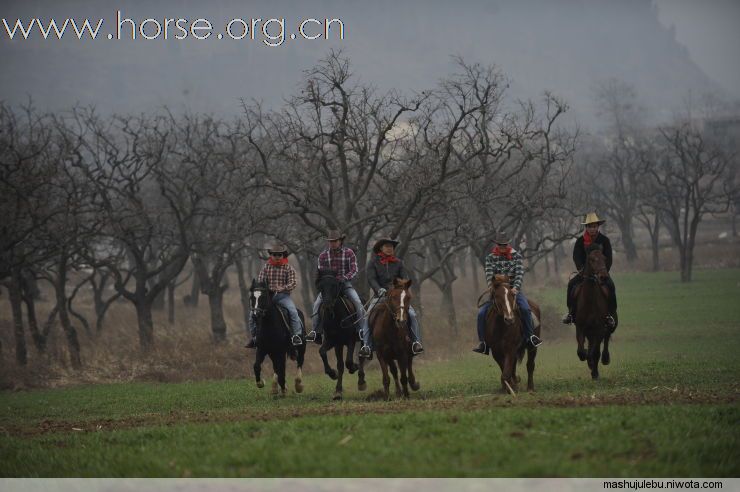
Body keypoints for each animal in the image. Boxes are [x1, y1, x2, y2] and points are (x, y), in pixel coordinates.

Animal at [316, 270, 368, 400]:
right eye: (320, 287)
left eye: (334, 286)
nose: (327, 305)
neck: (335, 317)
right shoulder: (335, 342)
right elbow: (327, 355)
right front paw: (334, 380)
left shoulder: (350, 340)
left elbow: (348, 361)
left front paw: (353, 367)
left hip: (362, 338)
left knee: (361, 356)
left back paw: (361, 382)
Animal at [572, 246, 612, 380]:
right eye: (592, 259)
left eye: (604, 258)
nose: (603, 277)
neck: (589, 300)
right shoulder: (580, 327)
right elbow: (581, 351)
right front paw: (586, 358)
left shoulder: (599, 328)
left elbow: (595, 352)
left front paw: (595, 372)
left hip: (608, 325)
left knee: (605, 340)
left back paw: (604, 360)